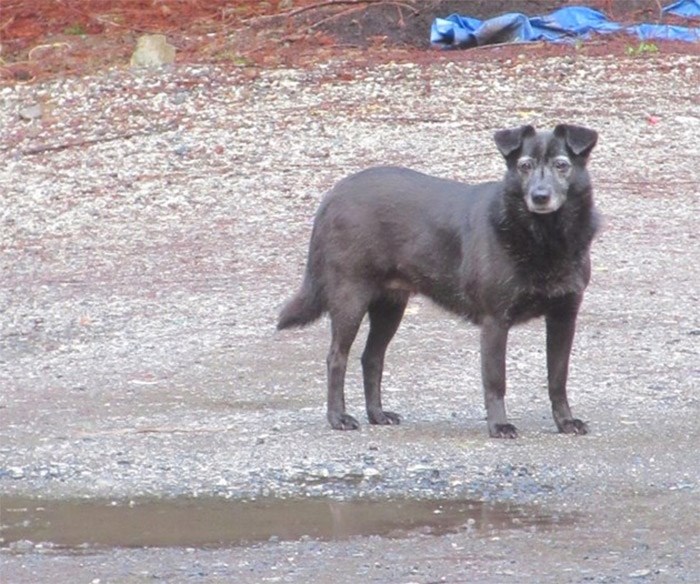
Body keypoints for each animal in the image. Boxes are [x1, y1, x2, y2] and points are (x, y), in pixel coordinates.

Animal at [276, 124, 600, 438]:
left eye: (561, 165)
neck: (543, 236)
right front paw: (498, 425)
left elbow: (557, 379)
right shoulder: (495, 321)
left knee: (372, 358)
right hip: (350, 299)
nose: (540, 196)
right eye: (525, 165)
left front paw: (565, 422)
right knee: (336, 358)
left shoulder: (563, 318)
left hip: (390, 307)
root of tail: (334, 194)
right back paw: (338, 418)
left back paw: (377, 414)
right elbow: (496, 381)